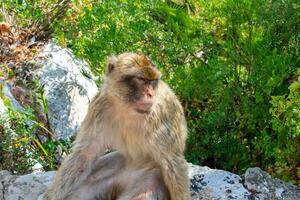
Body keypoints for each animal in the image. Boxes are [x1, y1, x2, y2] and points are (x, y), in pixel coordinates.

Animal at [44, 52, 190, 199]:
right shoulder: (99, 106)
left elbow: (172, 161)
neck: (127, 108)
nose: (150, 94)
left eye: (152, 81)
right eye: (142, 79)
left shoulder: (161, 114)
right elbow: (85, 153)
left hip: (151, 176)